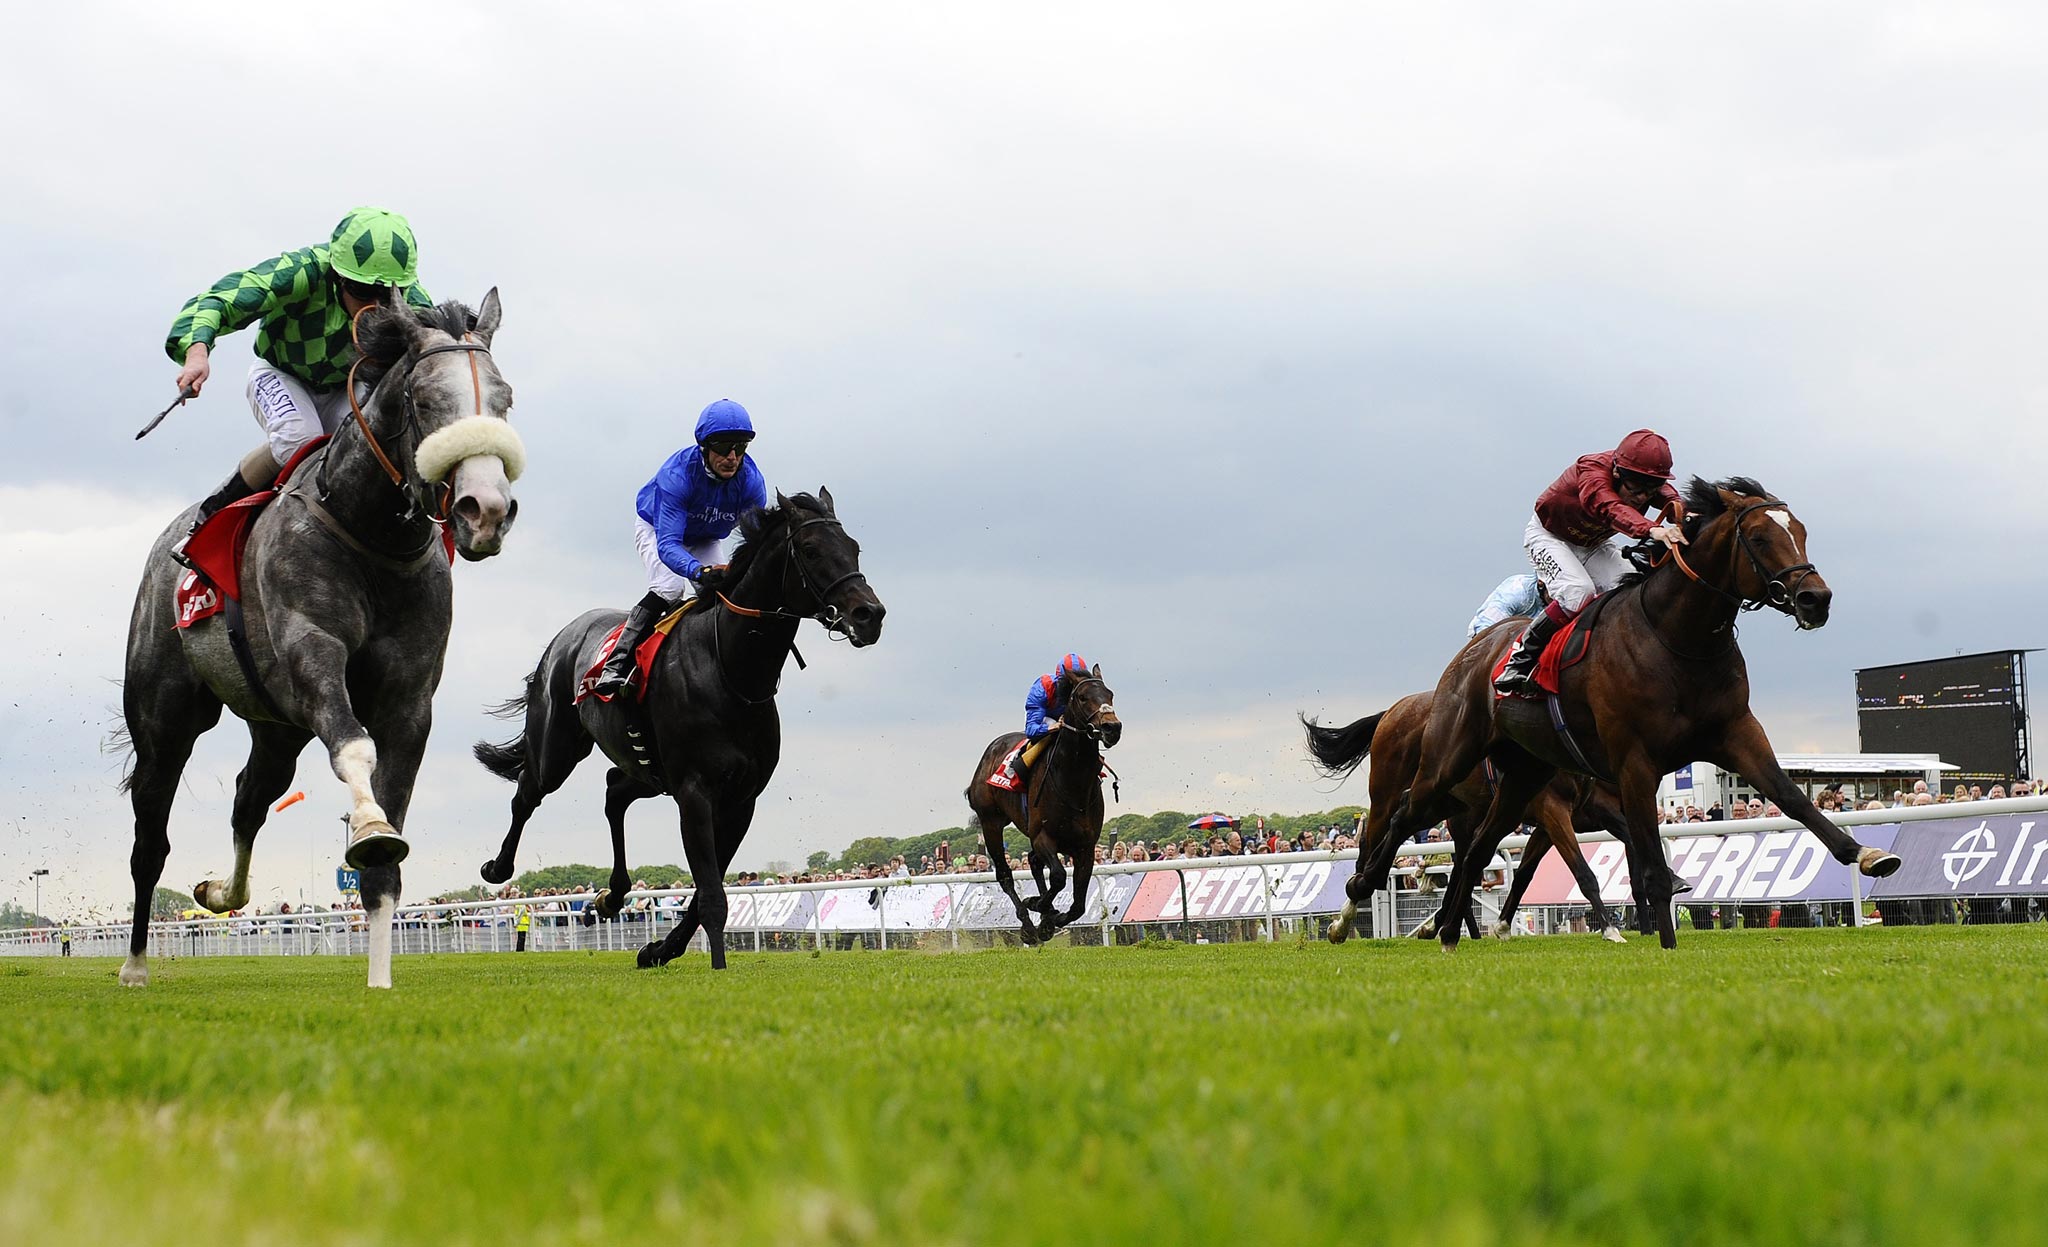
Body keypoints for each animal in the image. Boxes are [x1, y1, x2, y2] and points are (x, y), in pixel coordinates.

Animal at [117, 286, 528, 986]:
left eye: (503, 401)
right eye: (424, 402)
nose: (486, 510)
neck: (369, 533)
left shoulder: (410, 700)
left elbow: (386, 859)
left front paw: (381, 980)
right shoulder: (312, 652)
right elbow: (354, 751)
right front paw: (367, 827)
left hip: (276, 727)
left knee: (250, 799)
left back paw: (219, 893)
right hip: (165, 716)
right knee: (151, 834)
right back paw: (137, 966)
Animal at [475, 491, 884, 966]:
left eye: (854, 548)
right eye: (812, 550)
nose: (870, 614)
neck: (730, 672)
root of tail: (563, 637)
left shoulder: (741, 799)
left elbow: (706, 890)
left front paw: (659, 949)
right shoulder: (694, 792)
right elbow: (711, 895)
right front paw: (717, 965)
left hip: (648, 770)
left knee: (614, 791)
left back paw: (612, 895)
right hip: (557, 749)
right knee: (527, 791)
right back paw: (498, 867)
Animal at [958, 671, 1122, 941]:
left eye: (1110, 694)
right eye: (1082, 697)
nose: (1112, 727)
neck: (1072, 781)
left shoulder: (1085, 847)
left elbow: (1078, 904)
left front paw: (1051, 918)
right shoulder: (1043, 836)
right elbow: (1058, 877)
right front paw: (1037, 906)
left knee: (1034, 862)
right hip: (991, 822)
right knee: (1005, 874)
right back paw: (1027, 925)